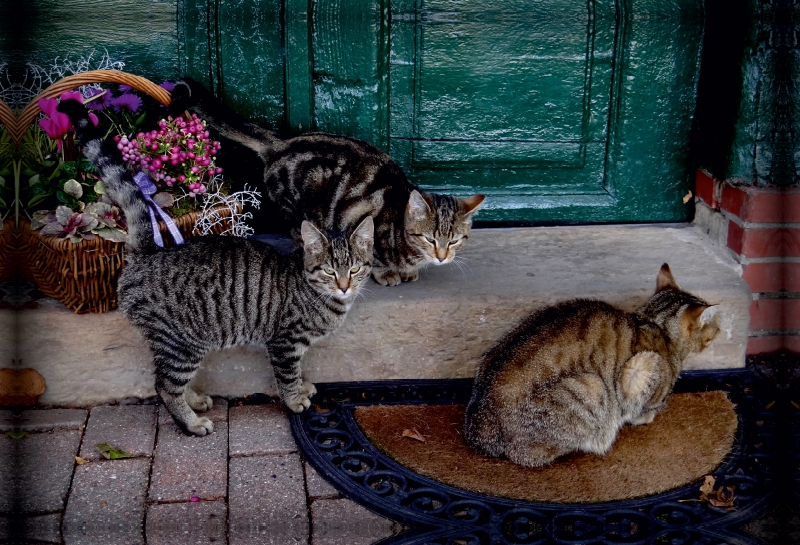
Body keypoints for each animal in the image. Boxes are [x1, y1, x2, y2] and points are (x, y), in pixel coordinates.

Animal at [57, 100, 376, 436]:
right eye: (329, 270)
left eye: (355, 269)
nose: (344, 286)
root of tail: (147, 252)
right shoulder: (285, 343)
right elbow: (288, 375)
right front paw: (295, 398)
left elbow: (298, 371)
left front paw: (303, 387)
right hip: (181, 344)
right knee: (164, 386)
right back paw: (191, 422)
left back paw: (195, 401)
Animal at [166, 79, 484, 288]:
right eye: (429, 238)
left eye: (454, 240)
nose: (442, 257)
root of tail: (281, 143)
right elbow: (374, 259)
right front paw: (387, 274)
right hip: (297, 211)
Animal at [462, 262, 720, 466]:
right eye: (714, 325)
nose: (720, 330)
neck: (654, 323)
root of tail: (480, 424)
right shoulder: (639, 367)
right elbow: (641, 406)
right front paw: (646, 416)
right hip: (591, 386)